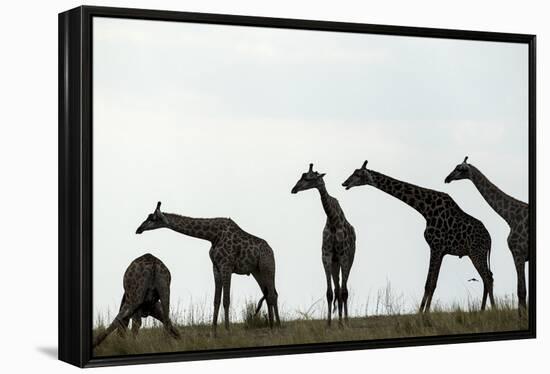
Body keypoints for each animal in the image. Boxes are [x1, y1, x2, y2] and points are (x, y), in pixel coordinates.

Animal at [134, 203, 280, 332]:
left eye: (152, 218)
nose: (138, 229)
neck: (212, 236)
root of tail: (271, 250)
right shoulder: (216, 268)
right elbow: (216, 300)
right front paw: (213, 332)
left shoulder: (226, 266)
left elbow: (226, 300)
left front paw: (227, 331)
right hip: (257, 271)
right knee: (270, 294)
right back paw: (272, 325)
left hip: (268, 267)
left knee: (272, 294)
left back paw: (277, 327)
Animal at [294, 162, 358, 326]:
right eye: (302, 176)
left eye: (309, 178)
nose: (294, 189)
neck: (333, 220)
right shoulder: (327, 257)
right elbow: (330, 293)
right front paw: (329, 323)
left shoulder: (343, 257)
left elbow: (343, 292)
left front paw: (344, 323)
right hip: (336, 263)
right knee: (337, 289)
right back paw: (339, 319)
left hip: (349, 259)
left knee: (343, 290)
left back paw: (344, 320)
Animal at [344, 160, 496, 312]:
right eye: (353, 172)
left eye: (358, 174)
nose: (344, 183)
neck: (425, 209)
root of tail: (489, 240)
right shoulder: (441, 251)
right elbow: (433, 283)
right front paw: (425, 311)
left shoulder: (435, 246)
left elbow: (429, 284)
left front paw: (422, 312)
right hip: (474, 253)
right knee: (487, 277)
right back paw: (483, 309)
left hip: (476, 252)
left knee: (488, 277)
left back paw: (492, 308)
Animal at [448, 156, 532, 312]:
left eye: (459, 169)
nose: (447, 178)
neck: (510, 218)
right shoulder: (522, 256)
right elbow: (522, 291)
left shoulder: (518, 253)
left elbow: (521, 291)